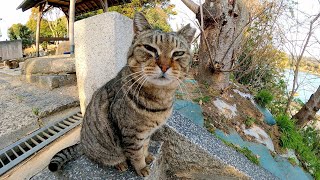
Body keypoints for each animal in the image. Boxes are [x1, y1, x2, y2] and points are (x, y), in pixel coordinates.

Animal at [48, 12, 196, 177]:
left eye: (178, 53)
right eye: (149, 48)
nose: (164, 66)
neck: (160, 98)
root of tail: (82, 144)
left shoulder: (146, 134)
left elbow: (145, 147)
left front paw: (147, 157)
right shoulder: (132, 135)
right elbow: (136, 154)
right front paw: (142, 168)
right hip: (106, 151)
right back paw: (120, 164)